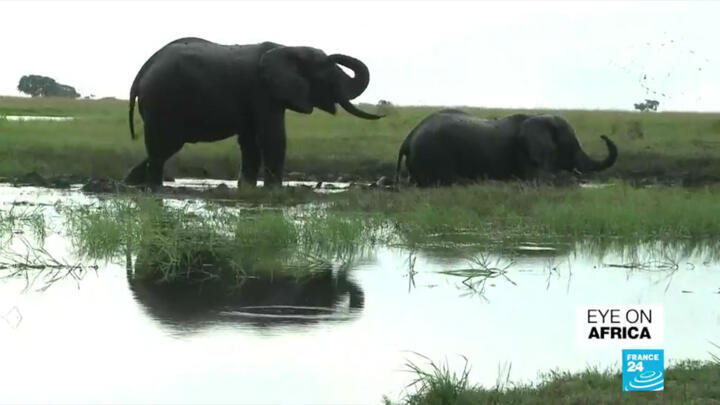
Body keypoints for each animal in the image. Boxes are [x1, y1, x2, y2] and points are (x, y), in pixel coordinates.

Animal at [124, 37, 382, 187]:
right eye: (327, 76)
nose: (331, 55)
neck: (287, 49)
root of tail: (142, 72)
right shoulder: (263, 91)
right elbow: (272, 137)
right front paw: (274, 190)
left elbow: (250, 141)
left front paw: (246, 187)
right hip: (161, 100)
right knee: (163, 146)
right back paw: (154, 187)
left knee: (165, 147)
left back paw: (131, 183)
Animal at [395, 109, 618, 187]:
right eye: (570, 145)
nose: (603, 135)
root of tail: (408, 138)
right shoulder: (524, 153)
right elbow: (541, 177)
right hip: (434, 154)